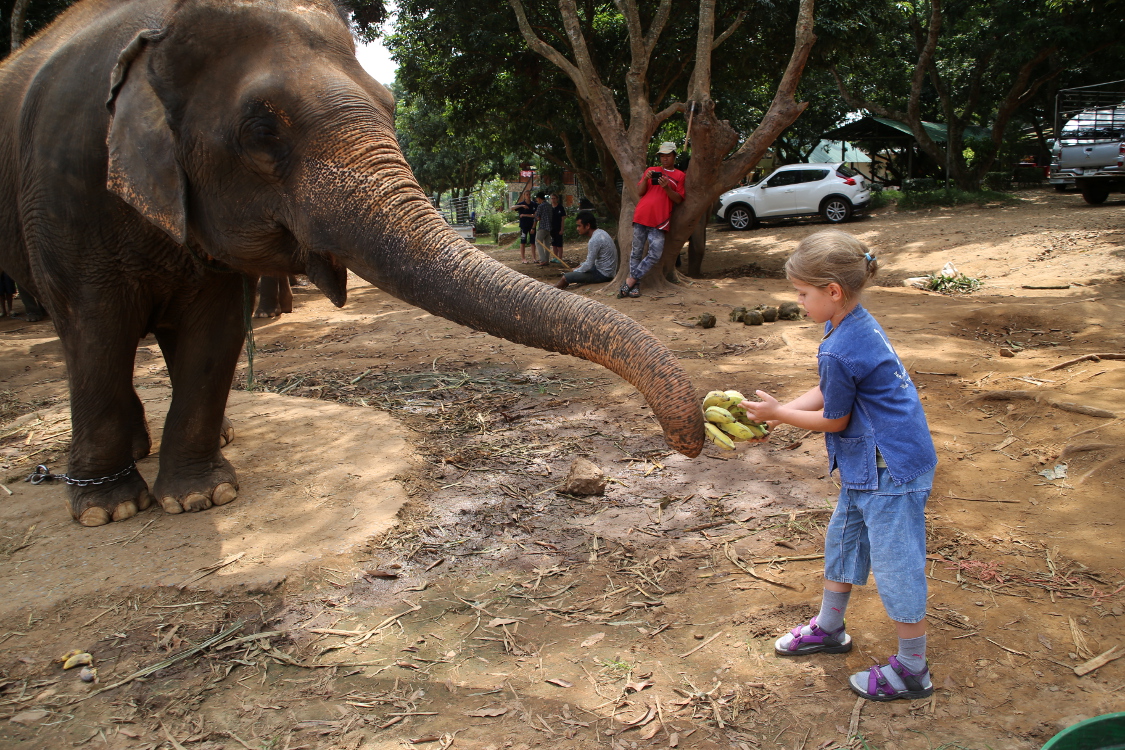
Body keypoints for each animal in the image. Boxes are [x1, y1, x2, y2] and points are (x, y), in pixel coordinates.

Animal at [0, 0, 704, 527]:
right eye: (261, 130)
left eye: (391, 105)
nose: (687, 442)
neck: (158, 29)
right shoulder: (63, 188)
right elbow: (95, 329)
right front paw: (108, 511)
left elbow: (213, 336)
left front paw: (202, 497)